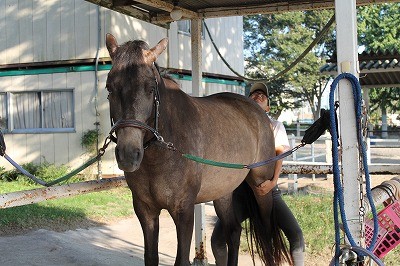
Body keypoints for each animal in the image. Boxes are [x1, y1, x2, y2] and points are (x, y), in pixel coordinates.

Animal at [105, 34, 284, 264]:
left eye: (150, 89)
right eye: (109, 88)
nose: (128, 154)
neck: (161, 155)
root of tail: (259, 111)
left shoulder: (184, 210)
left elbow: (181, 260)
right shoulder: (146, 211)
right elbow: (150, 257)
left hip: (262, 186)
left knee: (267, 235)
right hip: (223, 192)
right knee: (234, 231)